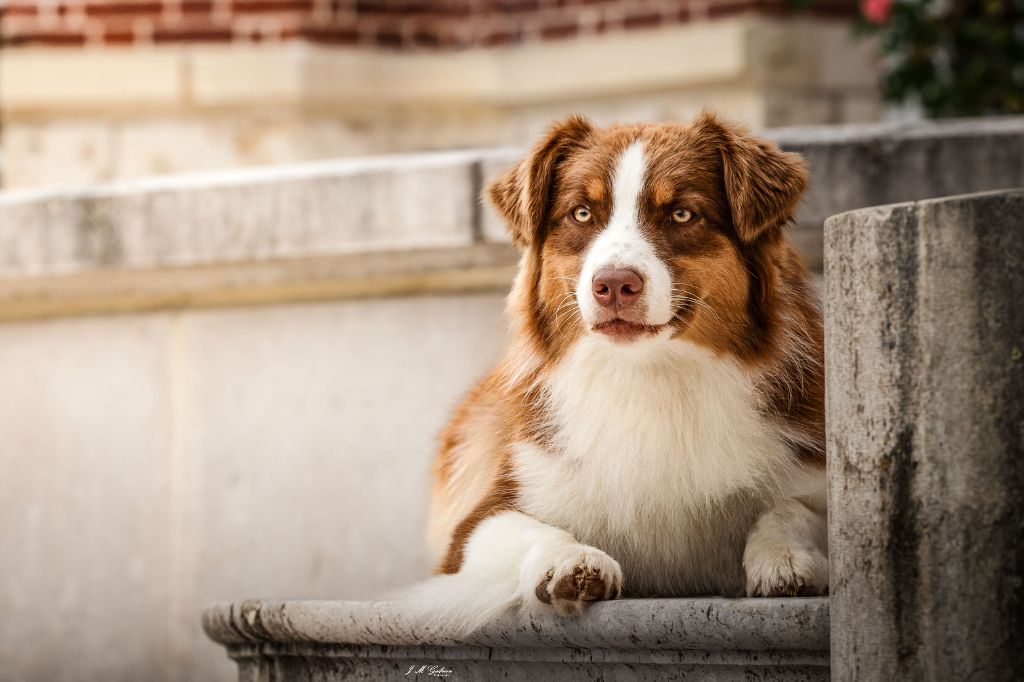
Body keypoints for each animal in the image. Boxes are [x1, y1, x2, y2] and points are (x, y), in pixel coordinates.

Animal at [405, 110, 823, 630]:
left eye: (681, 214)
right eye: (582, 213)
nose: (614, 284)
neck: (648, 376)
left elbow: (794, 508)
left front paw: (783, 555)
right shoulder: (480, 521)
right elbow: (529, 530)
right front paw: (570, 561)